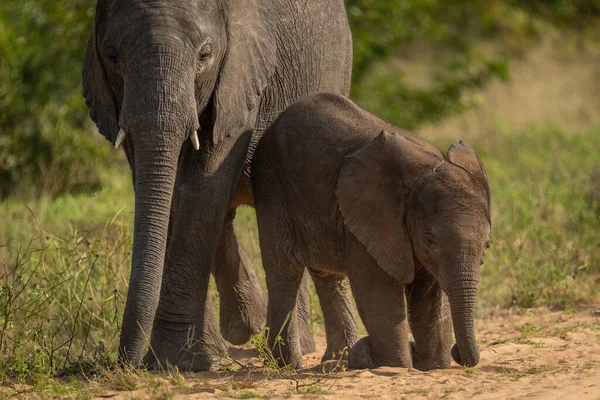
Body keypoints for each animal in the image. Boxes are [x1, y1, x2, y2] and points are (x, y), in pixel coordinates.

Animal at [84, 0, 354, 370]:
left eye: (205, 55)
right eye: (112, 56)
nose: (129, 362)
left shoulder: (240, 78)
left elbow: (203, 187)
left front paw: (175, 361)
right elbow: (168, 193)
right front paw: (195, 358)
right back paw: (245, 331)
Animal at [251, 92, 490, 370]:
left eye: (487, 245)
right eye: (429, 239)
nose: (457, 353)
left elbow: (428, 300)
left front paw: (433, 368)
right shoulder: (373, 220)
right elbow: (379, 296)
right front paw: (396, 367)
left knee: (328, 276)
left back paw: (338, 361)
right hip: (272, 186)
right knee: (284, 270)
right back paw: (290, 365)